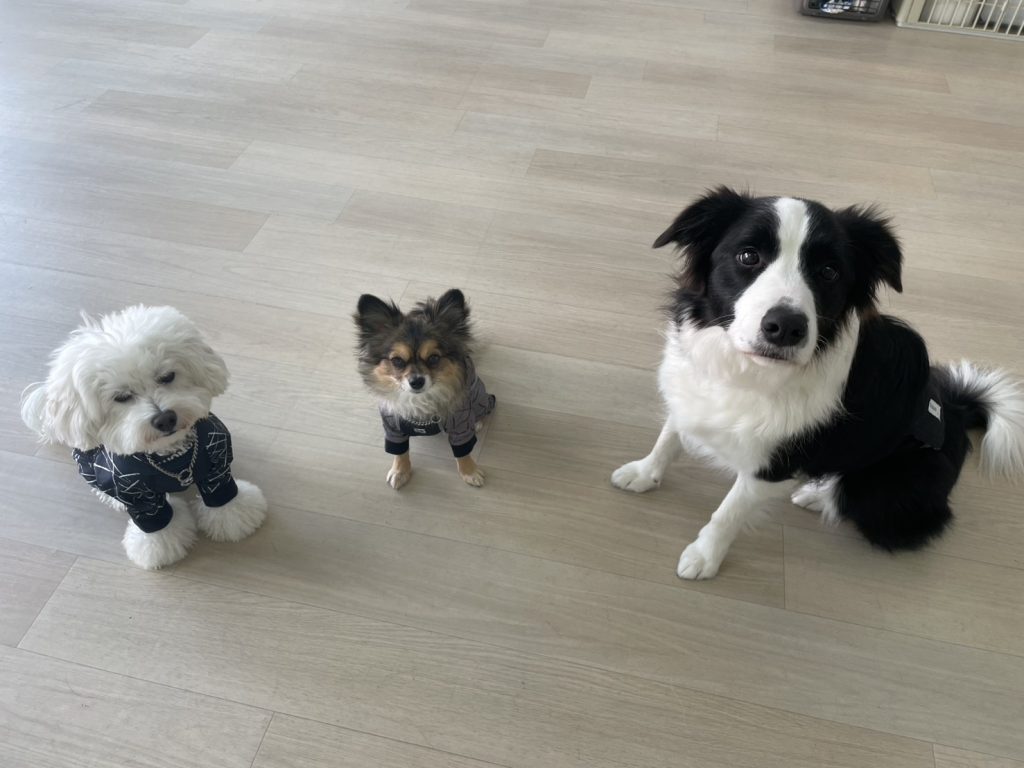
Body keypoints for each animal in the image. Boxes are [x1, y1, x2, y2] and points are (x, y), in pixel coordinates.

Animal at [21, 305, 267, 570]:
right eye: (121, 397)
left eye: (167, 376)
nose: (165, 419)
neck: (174, 459)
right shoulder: (137, 495)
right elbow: (155, 526)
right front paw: (160, 550)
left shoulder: (216, 460)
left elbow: (224, 498)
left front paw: (235, 520)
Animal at [355, 288, 496, 490]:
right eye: (397, 361)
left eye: (434, 358)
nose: (417, 381)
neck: (420, 401)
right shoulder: (392, 426)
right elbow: (399, 450)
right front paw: (400, 471)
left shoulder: (459, 422)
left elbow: (463, 451)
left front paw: (469, 472)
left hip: (479, 395)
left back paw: (477, 422)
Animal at [612, 187, 1024, 580]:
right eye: (748, 256)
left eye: (829, 272)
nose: (785, 327)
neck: (748, 370)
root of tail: (957, 411)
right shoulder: (691, 394)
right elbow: (669, 436)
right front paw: (643, 473)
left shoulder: (774, 464)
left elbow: (729, 511)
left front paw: (704, 557)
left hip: (888, 490)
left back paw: (818, 493)